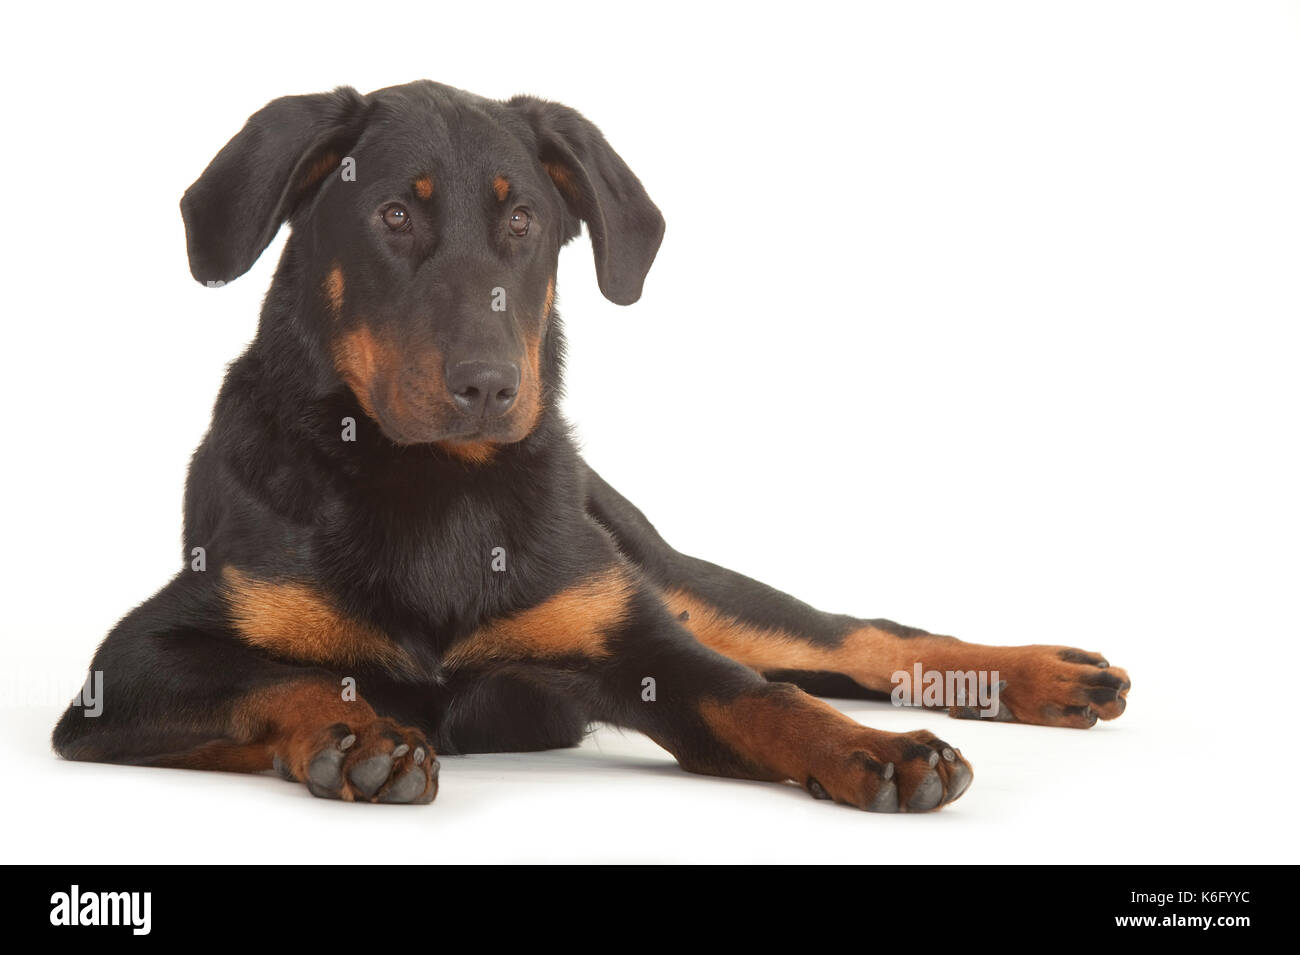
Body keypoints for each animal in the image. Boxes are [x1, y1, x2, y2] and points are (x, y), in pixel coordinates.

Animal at [50, 83, 1128, 815]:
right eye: (392, 214)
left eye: (524, 220)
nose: (489, 387)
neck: (438, 490)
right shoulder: (127, 669)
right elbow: (286, 676)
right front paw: (358, 734)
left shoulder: (639, 638)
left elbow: (768, 699)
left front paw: (877, 751)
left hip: (669, 573)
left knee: (854, 636)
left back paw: (1048, 676)